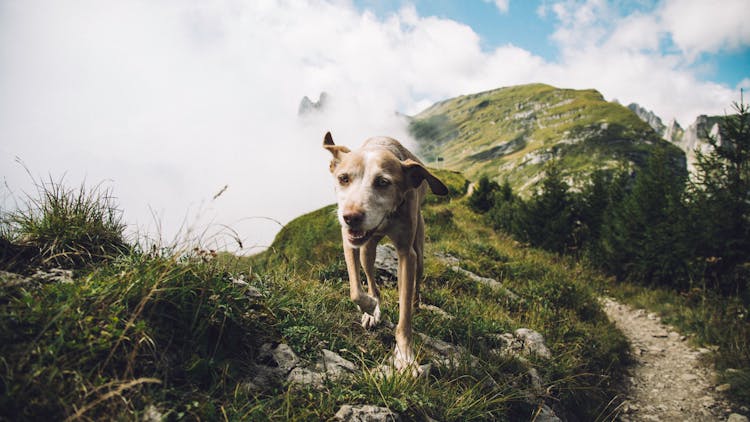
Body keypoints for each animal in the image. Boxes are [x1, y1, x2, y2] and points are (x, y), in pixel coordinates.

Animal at [322, 132, 450, 372]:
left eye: (383, 182)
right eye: (343, 178)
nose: (351, 217)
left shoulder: (406, 254)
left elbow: (404, 317)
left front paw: (406, 356)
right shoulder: (349, 242)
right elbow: (355, 290)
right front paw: (370, 308)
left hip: (419, 252)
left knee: (417, 282)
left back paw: (416, 304)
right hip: (367, 249)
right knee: (371, 279)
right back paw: (373, 309)